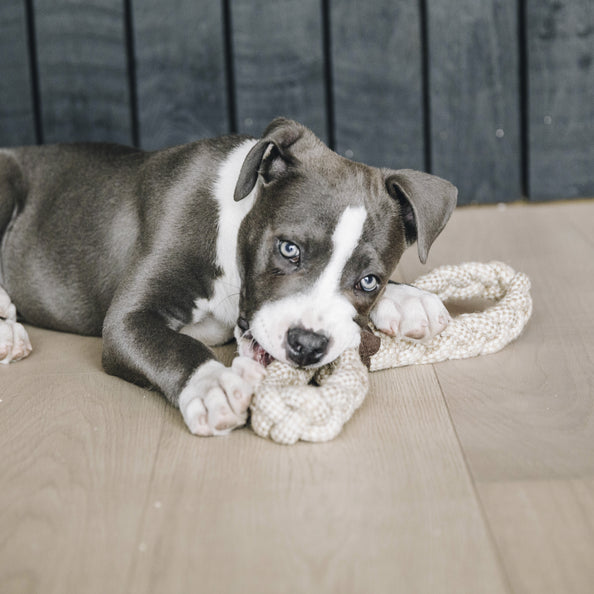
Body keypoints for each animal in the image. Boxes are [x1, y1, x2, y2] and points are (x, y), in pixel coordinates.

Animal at [0, 119, 456, 434]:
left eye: (369, 281)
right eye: (288, 249)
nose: (308, 346)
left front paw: (407, 299)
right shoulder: (127, 319)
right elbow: (172, 345)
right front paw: (214, 384)